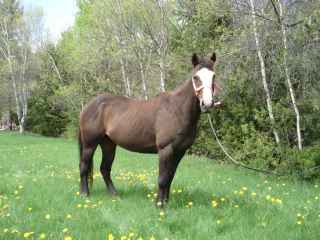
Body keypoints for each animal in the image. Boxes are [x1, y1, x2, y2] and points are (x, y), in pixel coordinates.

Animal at [79, 52, 221, 206]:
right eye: (196, 77)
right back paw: (85, 194)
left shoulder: (179, 152)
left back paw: (114, 195)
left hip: (108, 144)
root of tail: (89, 106)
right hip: (90, 144)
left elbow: (170, 177)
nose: (207, 103)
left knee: (105, 169)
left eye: (213, 76)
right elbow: (162, 179)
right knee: (84, 166)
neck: (177, 109)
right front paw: (159, 204)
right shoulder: (165, 149)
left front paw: (166, 202)